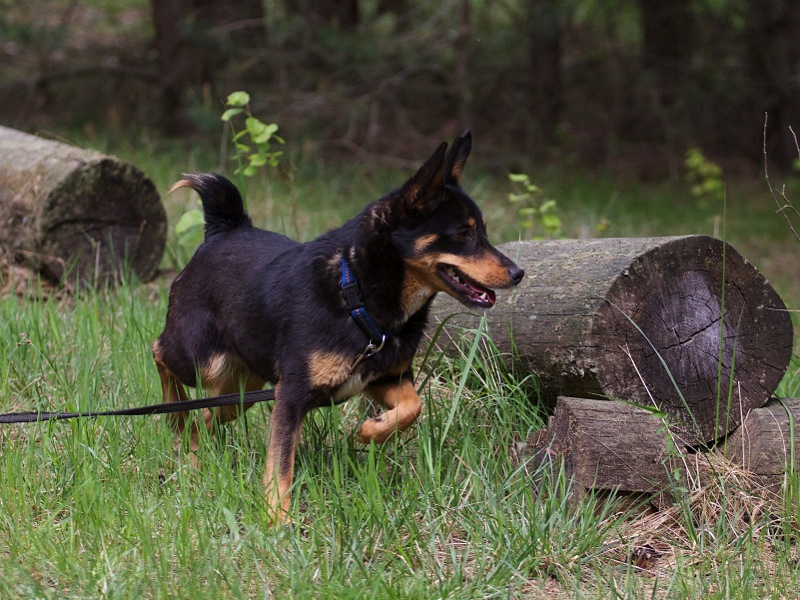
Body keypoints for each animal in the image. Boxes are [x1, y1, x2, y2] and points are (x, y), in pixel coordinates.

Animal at [152, 131, 524, 521]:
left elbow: (413, 405)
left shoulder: (383, 378)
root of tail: (223, 230)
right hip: (203, 360)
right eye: (463, 234)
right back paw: (177, 417)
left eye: (483, 232)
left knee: (205, 419)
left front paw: (372, 431)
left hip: (241, 388)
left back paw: (193, 455)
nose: (518, 273)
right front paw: (278, 520)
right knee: (160, 354)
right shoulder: (292, 395)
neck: (356, 294)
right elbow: (280, 466)